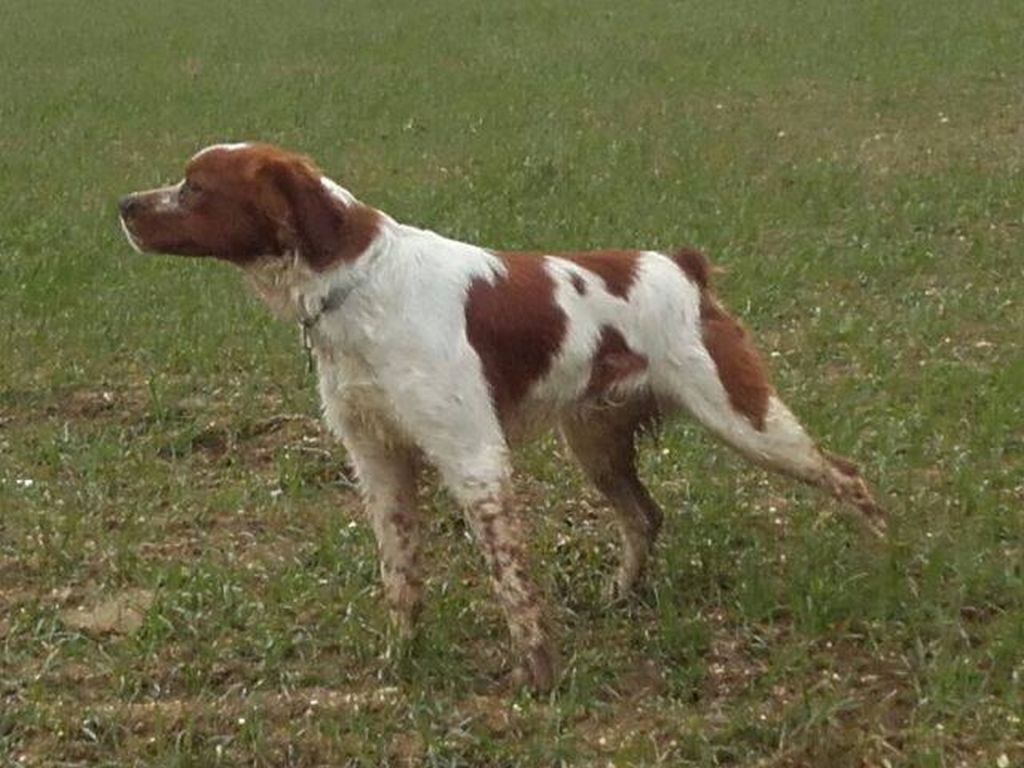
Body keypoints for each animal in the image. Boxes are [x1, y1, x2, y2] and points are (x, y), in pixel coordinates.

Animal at [119, 143, 884, 692]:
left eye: (195, 187)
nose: (124, 203)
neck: (356, 287)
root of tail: (682, 267)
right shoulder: (379, 458)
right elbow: (401, 576)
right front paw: (402, 663)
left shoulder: (473, 455)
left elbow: (510, 578)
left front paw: (537, 677)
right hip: (595, 441)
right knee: (644, 516)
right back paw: (619, 595)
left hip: (744, 418)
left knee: (850, 477)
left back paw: (885, 560)